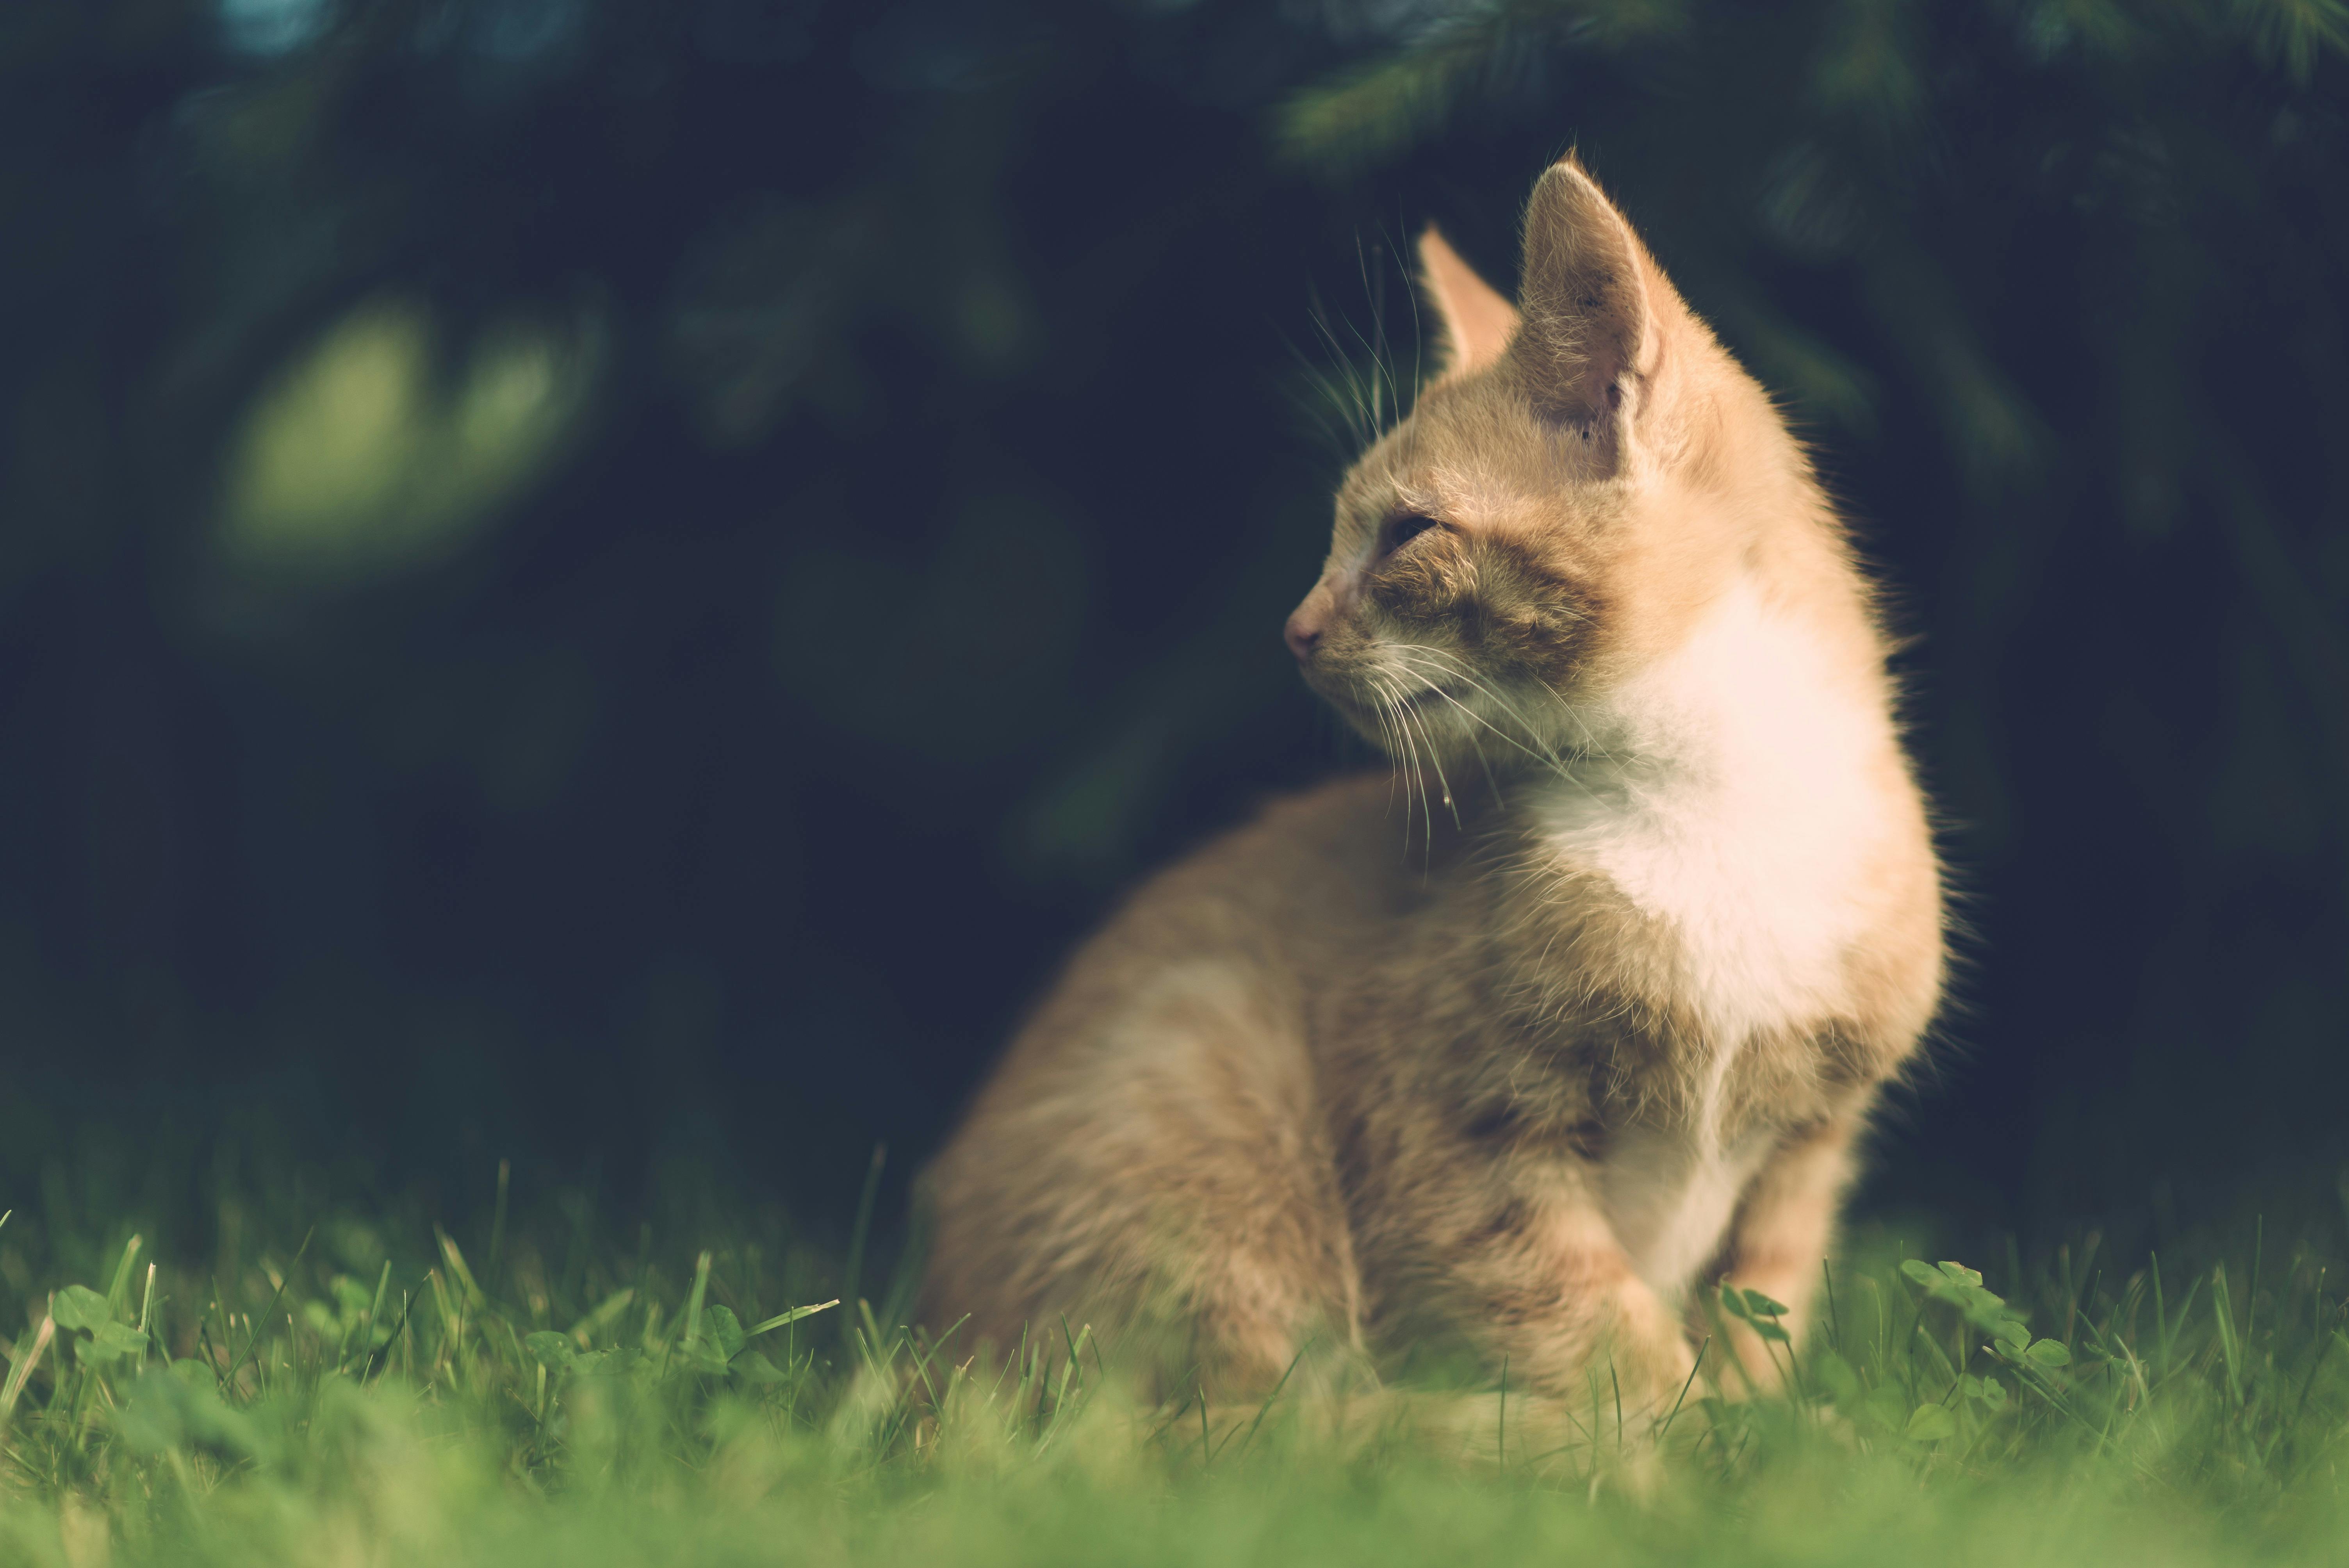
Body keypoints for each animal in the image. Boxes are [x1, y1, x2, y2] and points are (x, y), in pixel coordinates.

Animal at [916, 156, 1945, 1418]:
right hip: (1197, 1087)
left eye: (1408, 531)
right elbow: (1598, 1340)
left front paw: (1760, 1431)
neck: (1710, 811)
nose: (1293, 628)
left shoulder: (1805, 1157)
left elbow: (1760, 1321)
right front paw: (1666, 1441)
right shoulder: (1450, 1139)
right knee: (1259, 1419)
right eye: (1337, 531)